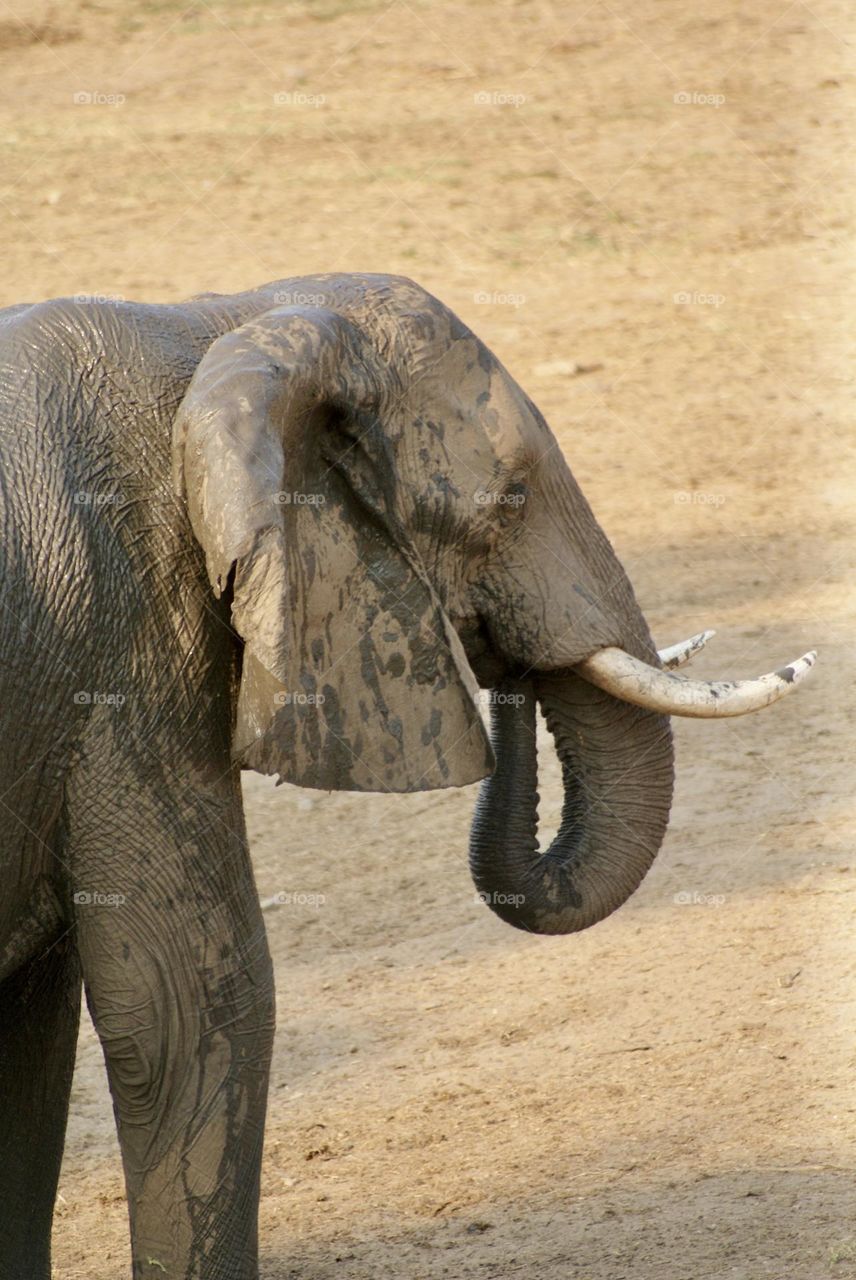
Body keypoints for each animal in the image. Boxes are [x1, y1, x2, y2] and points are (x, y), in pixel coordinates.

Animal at [0, 275, 813, 1274]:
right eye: (510, 499)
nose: (504, 658)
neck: (221, 324)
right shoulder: (126, 654)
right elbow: (188, 1006)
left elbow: (33, 1041)